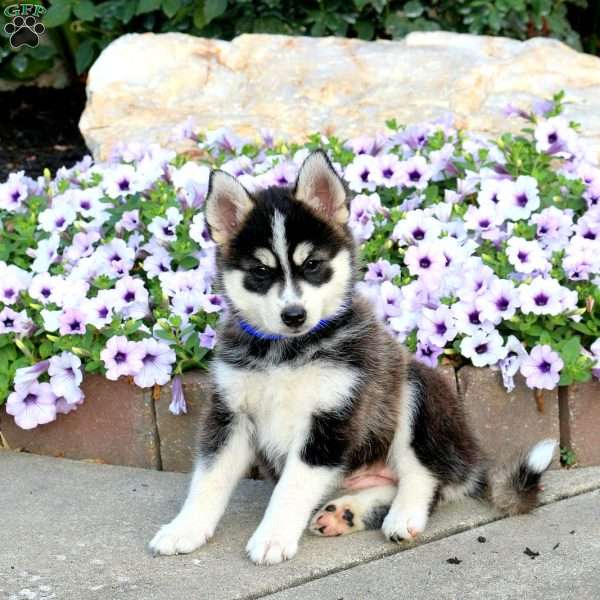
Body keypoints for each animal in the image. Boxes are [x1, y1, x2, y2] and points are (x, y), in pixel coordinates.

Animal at [148, 152, 556, 564]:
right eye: (261, 271)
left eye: (312, 264)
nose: (294, 315)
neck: (287, 352)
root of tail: (471, 460)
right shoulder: (230, 414)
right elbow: (208, 479)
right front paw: (185, 529)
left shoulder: (333, 418)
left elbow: (292, 487)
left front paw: (273, 537)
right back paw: (346, 512)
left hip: (416, 391)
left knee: (425, 476)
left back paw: (402, 515)